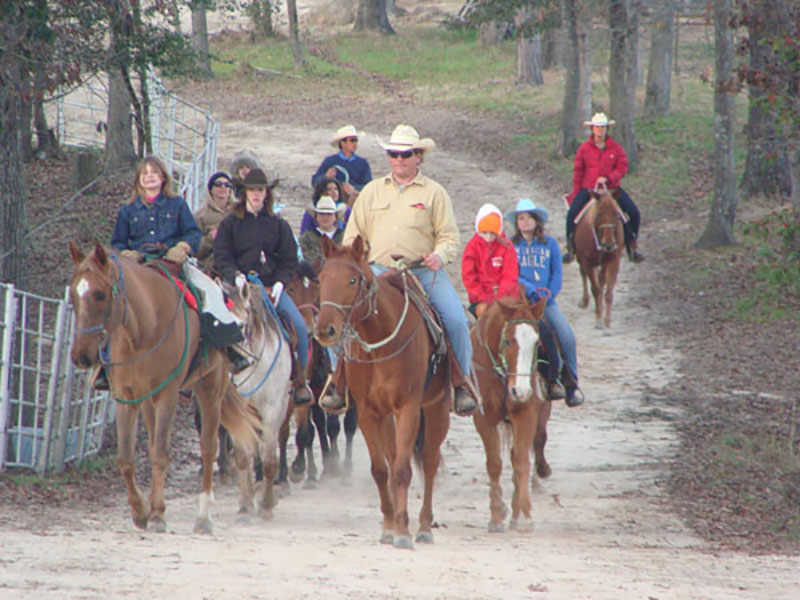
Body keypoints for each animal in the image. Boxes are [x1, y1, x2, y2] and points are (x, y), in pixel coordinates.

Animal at [68, 244, 260, 536]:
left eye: (100, 294)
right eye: (72, 295)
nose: (80, 356)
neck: (143, 329)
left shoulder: (168, 395)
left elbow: (160, 454)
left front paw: (157, 514)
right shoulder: (126, 397)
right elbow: (126, 458)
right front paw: (140, 512)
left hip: (210, 389)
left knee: (208, 448)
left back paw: (203, 517)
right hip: (150, 401)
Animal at [312, 237, 450, 552]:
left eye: (352, 280)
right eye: (321, 278)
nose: (325, 329)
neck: (380, 340)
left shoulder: (408, 408)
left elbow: (402, 470)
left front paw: (403, 531)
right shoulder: (368, 411)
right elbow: (381, 469)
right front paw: (390, 526)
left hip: (437, 408)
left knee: (430, 461)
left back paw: (424, 527)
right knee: (394, 456)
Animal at [472, 298, 552, 532]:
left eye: (537, 343)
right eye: (508, 340)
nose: (521, 390)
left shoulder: (525, 414)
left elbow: (521, 460)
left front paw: (523, 516)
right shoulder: (484, 420)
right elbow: (494, 464)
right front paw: (497, 515)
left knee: (536, 441)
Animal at [572, 186, 628, 328]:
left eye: (616, 214)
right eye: (598, 215)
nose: (608, 243)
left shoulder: (613, 261)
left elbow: (608, 292)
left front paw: (607, 320)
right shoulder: (587, 262)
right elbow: (595, 289)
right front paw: (598, 318)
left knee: (601, 280)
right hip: (582, 260)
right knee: (584, 275)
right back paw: (585, 301)